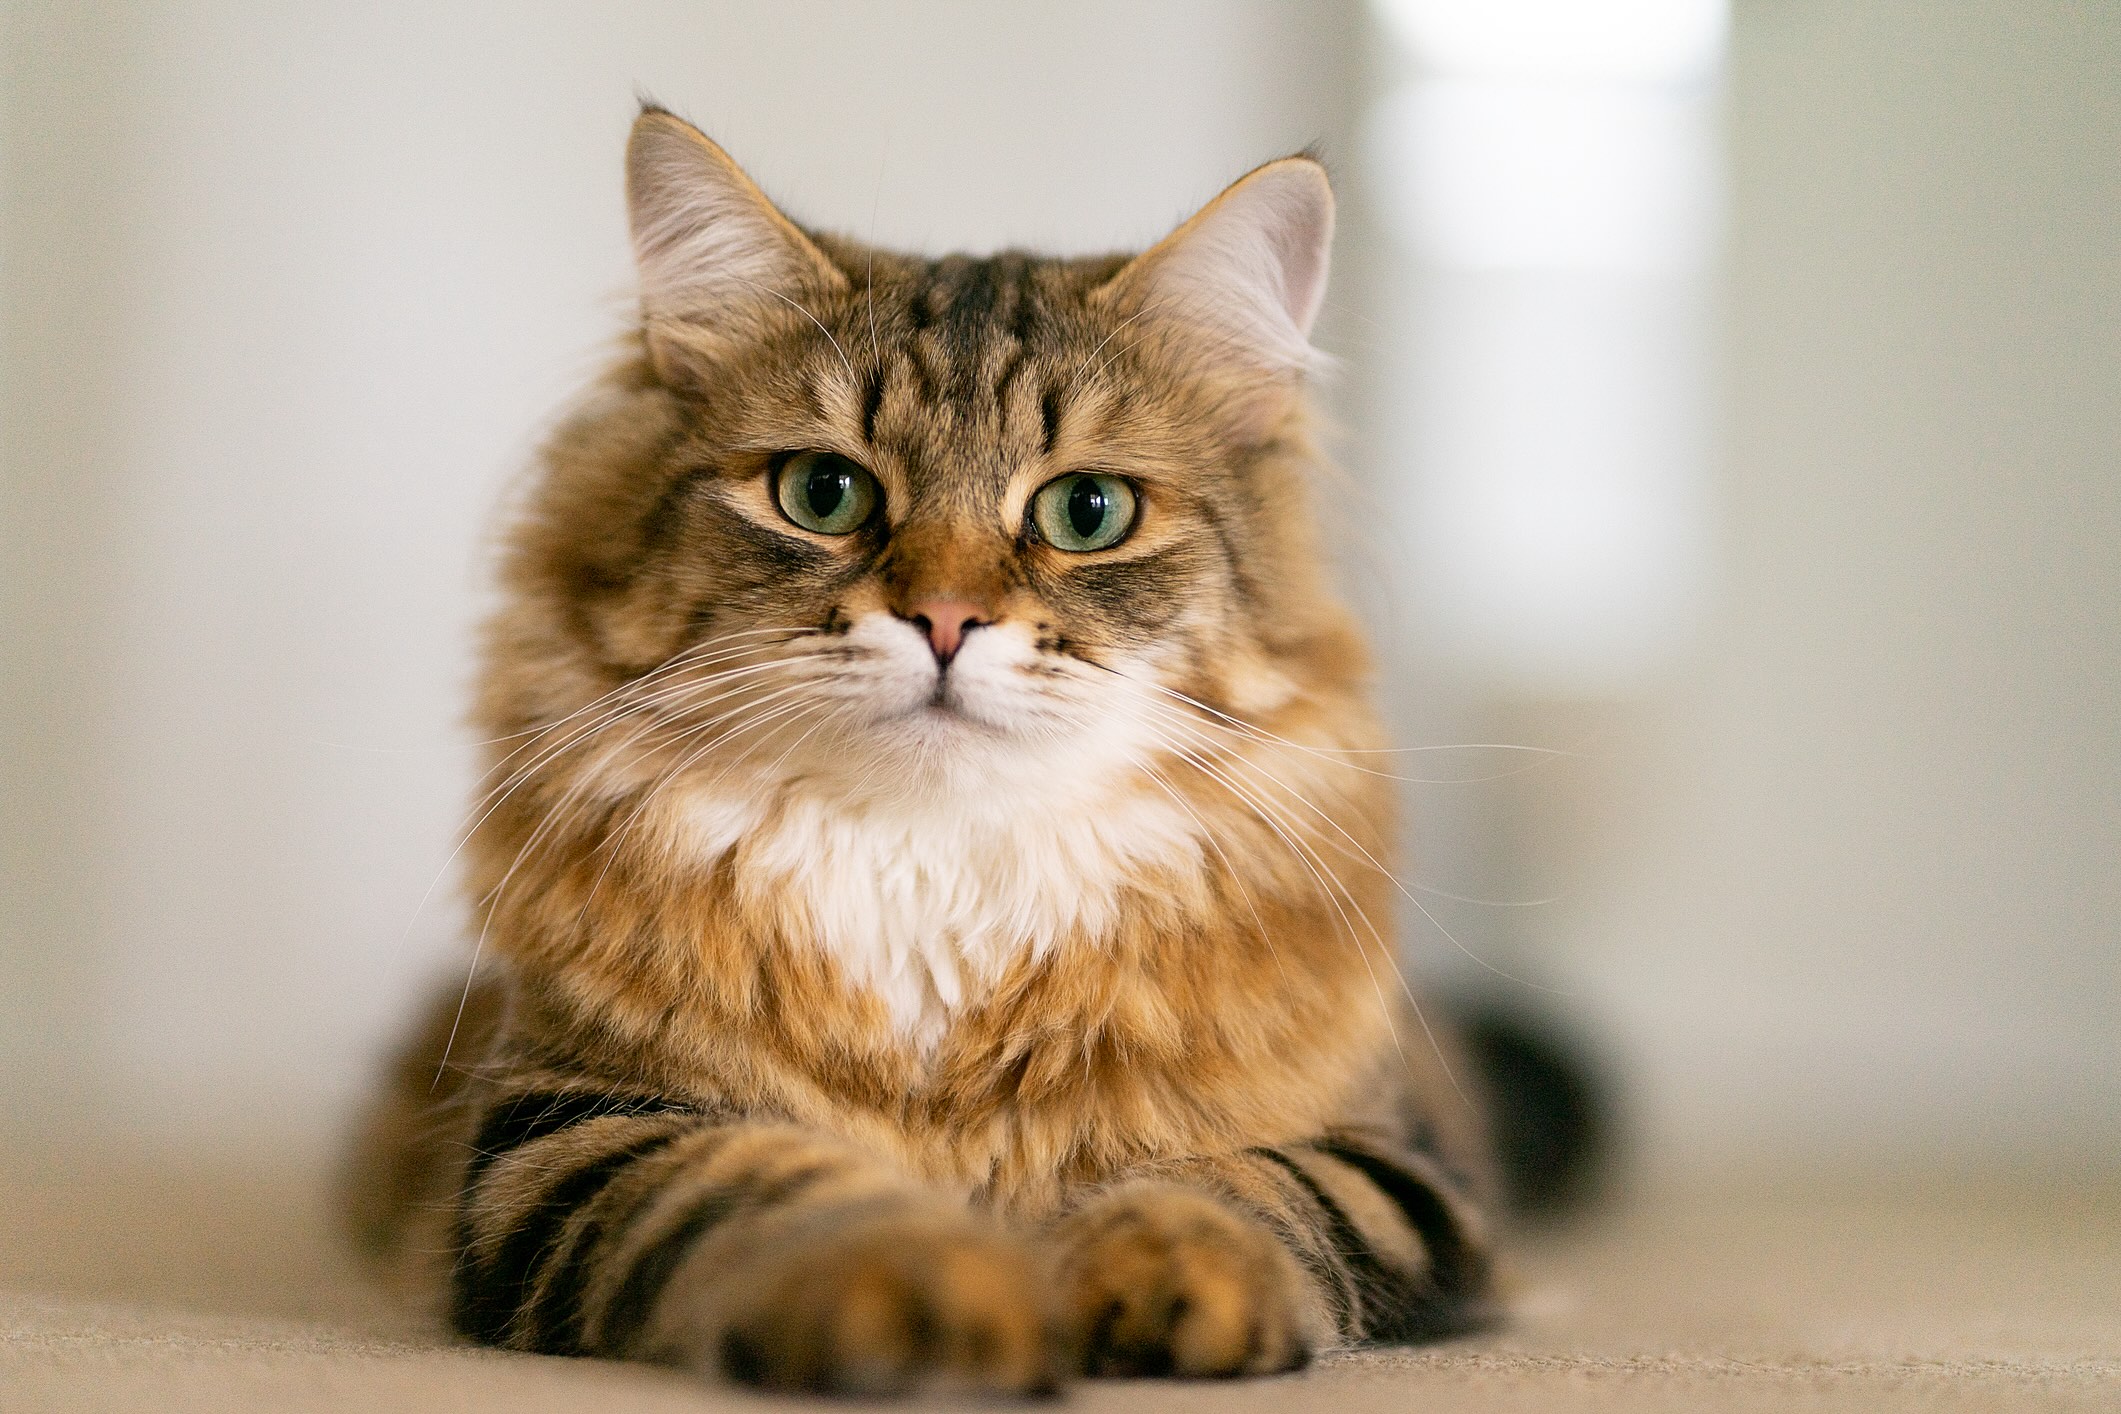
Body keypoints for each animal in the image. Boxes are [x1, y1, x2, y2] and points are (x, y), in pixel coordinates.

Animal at [347, 104, 1501, 1399]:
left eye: (1087, 512)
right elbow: (767, 1186)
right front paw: (929, 1290)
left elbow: (1247, 1184)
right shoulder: (567, 1129)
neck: (941, 877)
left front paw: (1165, 1273)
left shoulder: (1399, 1160)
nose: (945, 620)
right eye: (823, 492)